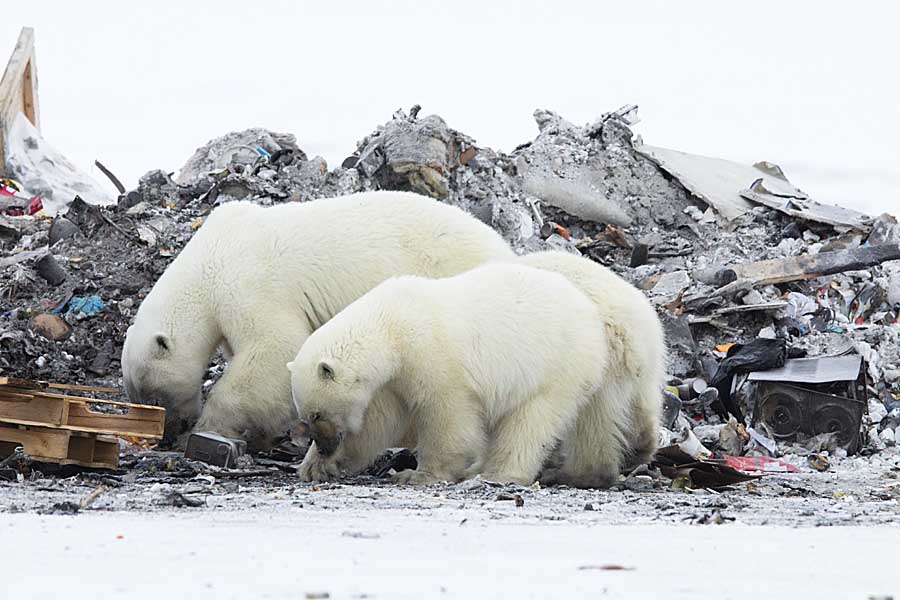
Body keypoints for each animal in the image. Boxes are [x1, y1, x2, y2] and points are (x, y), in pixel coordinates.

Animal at [121, 190, 512, 448]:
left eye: (154, 396)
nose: (167, 434)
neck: (210, 258)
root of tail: (502, 248)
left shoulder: (250, 284)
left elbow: (275, 348)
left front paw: (212, 425)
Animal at [298, 248, 664, 488]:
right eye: (307, 417)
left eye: (316, 413)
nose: (324, 443)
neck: (392, 325)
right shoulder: (393, 380)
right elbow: (377, 422)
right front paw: (319, 466)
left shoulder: (433, 356)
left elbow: (448, 417)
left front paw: (416, 474)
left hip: (556, 367)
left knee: (534, 422)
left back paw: (499, 472)